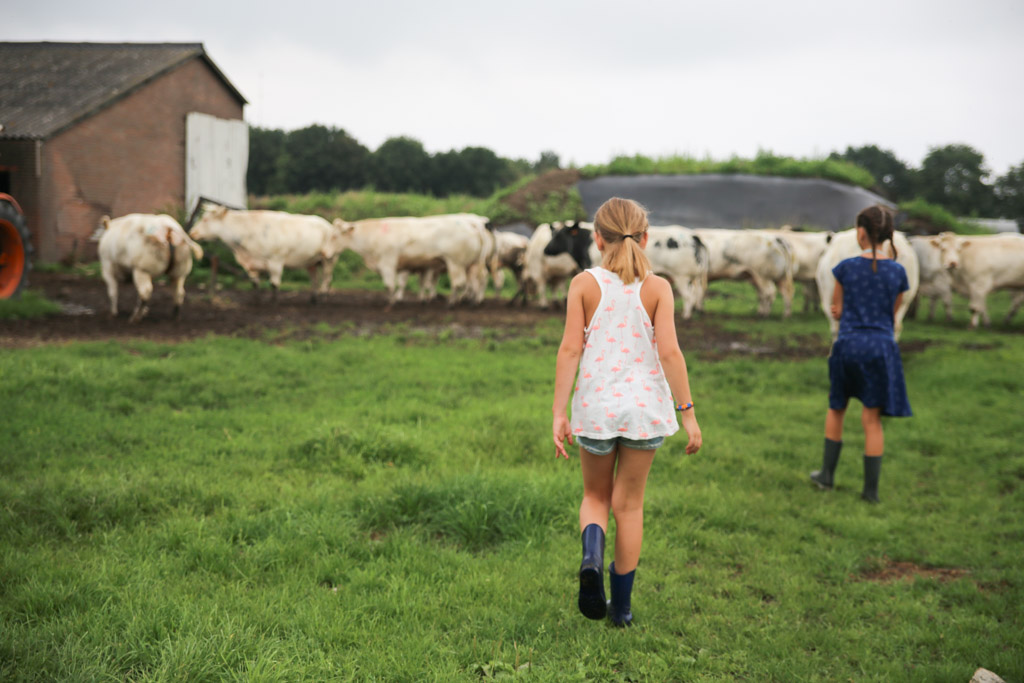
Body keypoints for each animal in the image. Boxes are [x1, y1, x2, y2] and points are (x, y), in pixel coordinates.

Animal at [192, 205, 348, 301]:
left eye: (205, 219)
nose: (192, 232)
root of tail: (327, 224)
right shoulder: (252, 265)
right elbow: (254, 284)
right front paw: (257, 301)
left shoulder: (276, 261)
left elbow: (274, 284)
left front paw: (274, 302)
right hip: (312, 262)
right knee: (314, 279)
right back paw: (313, 299)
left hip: (329, 260)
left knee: (327, 279)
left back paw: (323, 297)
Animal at [327, 211, 487, 305]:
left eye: (334, 236)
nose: (327, 254)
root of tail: (472, 225)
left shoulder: (388, 263)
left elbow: (389, 285)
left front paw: (391, 302)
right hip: (472, 264)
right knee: (473, 282)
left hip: (455, 263)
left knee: (460, 283)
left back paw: (452, 302)